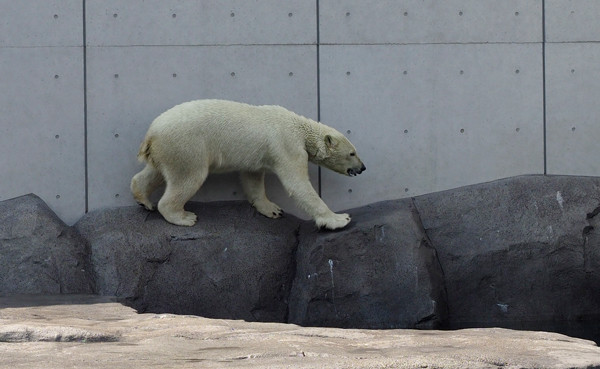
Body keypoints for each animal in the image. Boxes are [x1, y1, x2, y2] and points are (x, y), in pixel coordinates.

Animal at [131, 99, 366, 229]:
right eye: (352, 152)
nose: (363, 167)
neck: (300, 128)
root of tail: (151, 134)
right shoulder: (287, 146)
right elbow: (297, 184)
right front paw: (339, 218)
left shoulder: (259, 155)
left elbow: (252, 178)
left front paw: (272, 209)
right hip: (187, 147)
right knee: (188, 178)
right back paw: (183, 217)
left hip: (166, 152)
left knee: (154, 173)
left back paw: (145, 200)